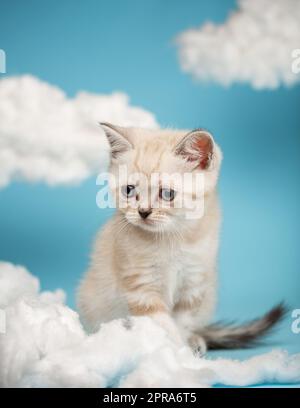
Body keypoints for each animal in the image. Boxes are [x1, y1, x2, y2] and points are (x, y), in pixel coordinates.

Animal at [77, 122, 284, 352]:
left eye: (167, 194)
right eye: (129, 190)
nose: (143, 212)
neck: (171, 239)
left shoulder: (193, 285)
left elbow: (182, 324)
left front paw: (184, 349)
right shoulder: (142, 289)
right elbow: (164, 327)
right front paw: (175, 353)